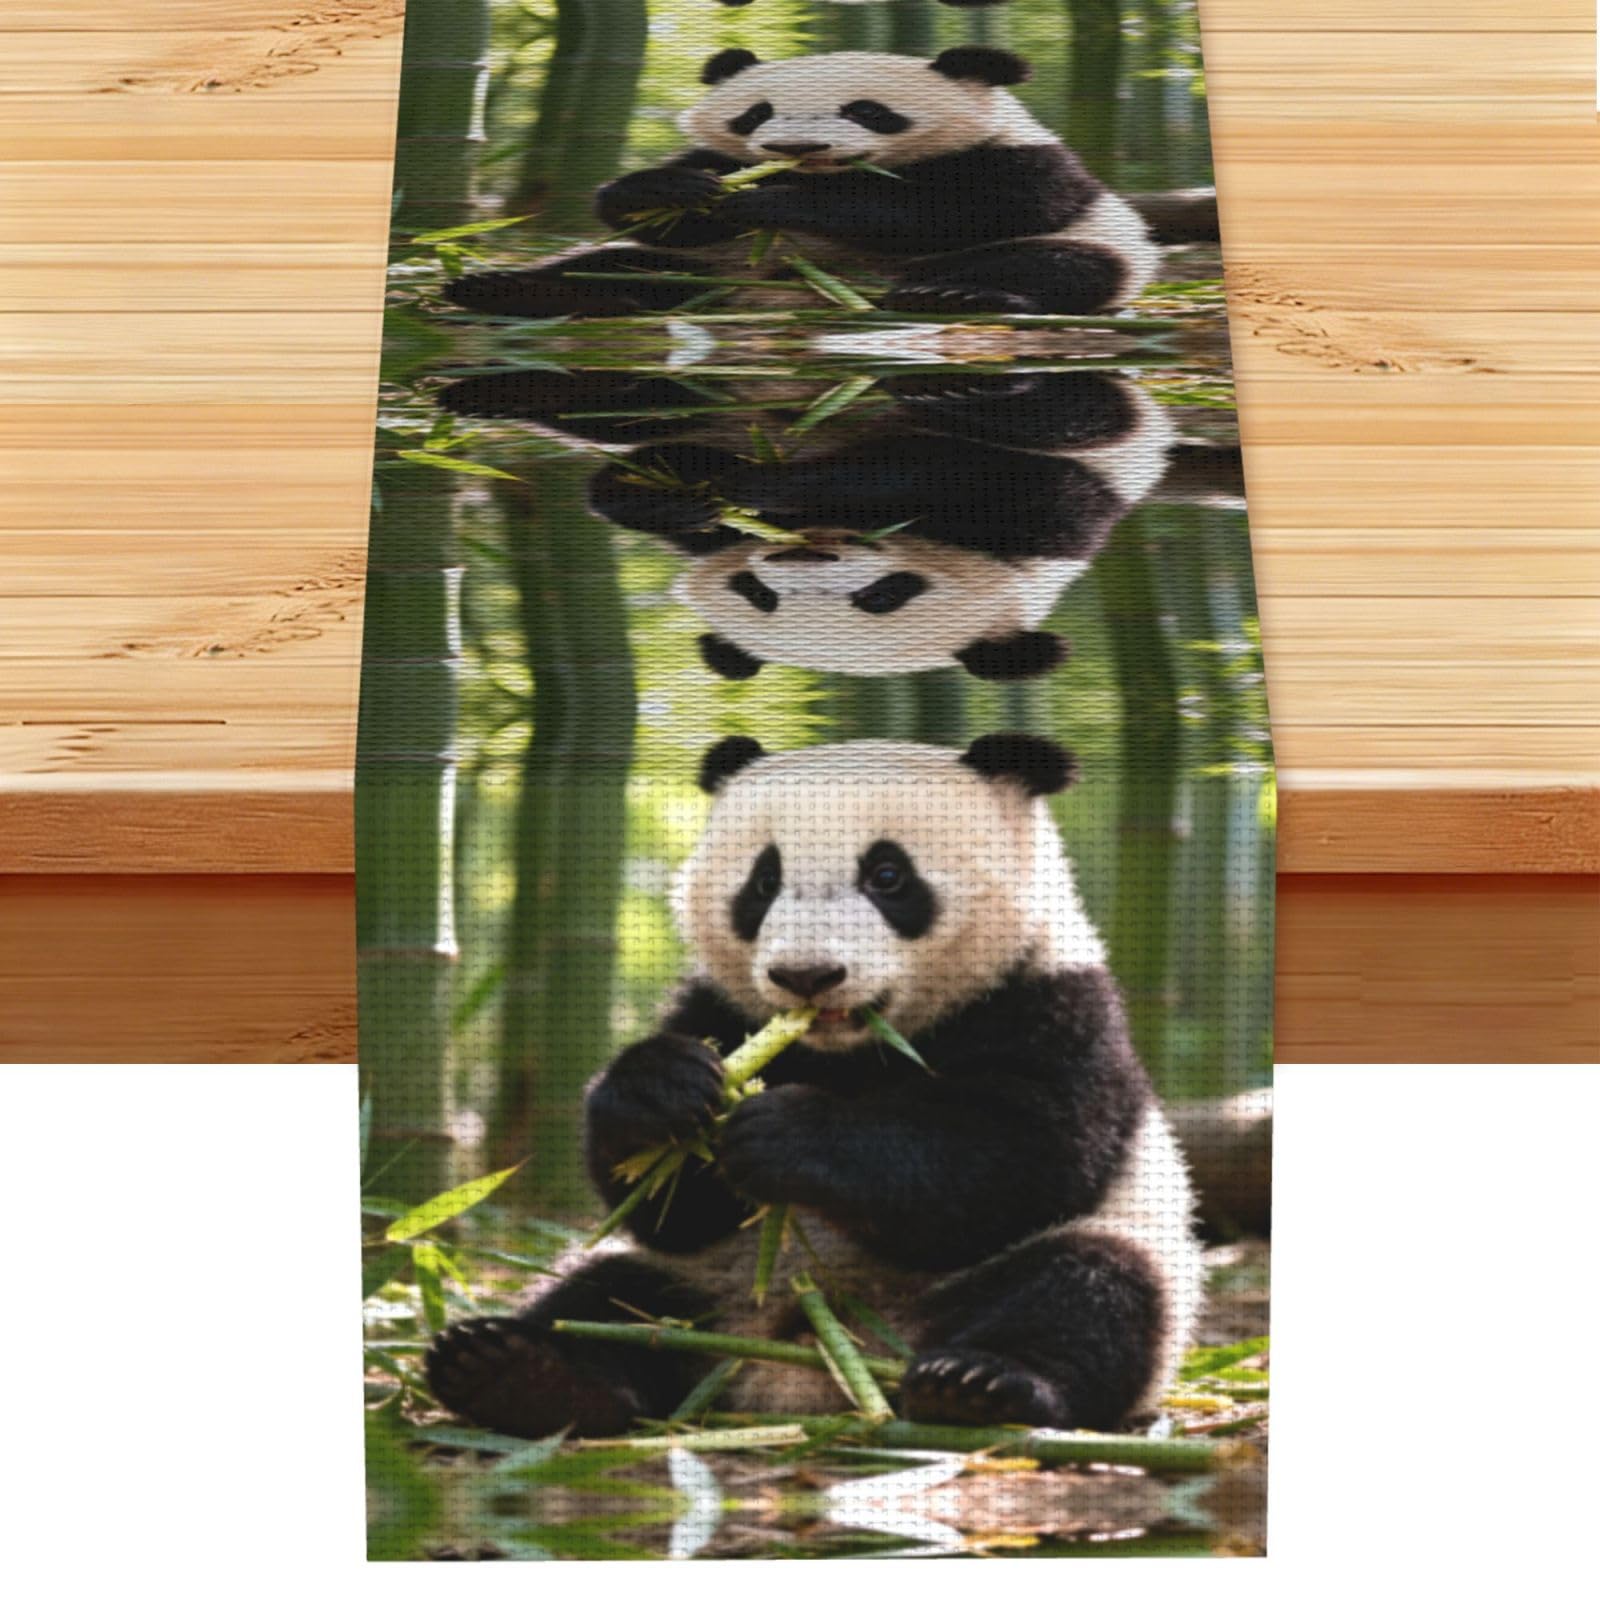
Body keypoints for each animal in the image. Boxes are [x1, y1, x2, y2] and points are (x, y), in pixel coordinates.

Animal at [425, 733, 1202, 1439]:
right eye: (762, 882)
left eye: (888, 875)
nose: (806, 975)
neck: (848, 1052)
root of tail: (803, 1366)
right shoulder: (721, 1008)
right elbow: (662, 1206)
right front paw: (663, 1090)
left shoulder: (1051, 1006)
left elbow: (1019, 1158)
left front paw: (789, 1134)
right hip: (697, 1287)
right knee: (608, 1301)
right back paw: (517, 1374)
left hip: (1092, 1265)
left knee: (1089, 1290)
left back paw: (978, 1386)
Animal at [437, 366, 1175, 681]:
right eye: (755, 594)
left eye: (884, 596)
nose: (795, 558)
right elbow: (639, 478)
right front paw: (687, 494)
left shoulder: (1047, 515)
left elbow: (934, 469)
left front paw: (760, 487)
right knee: (634, 394)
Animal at [446, 47, 1157, 321]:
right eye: (757, 113)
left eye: (867, 111)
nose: (794, 149)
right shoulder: (718, 154)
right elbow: (645, 210)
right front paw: (673, 192)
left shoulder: (1018, 160)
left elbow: (964, 210)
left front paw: (781, 199)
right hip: (713, 268)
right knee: (619, 268)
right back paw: (502, 287)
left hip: (1097, 253)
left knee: (1057, 264)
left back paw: (956, 295)